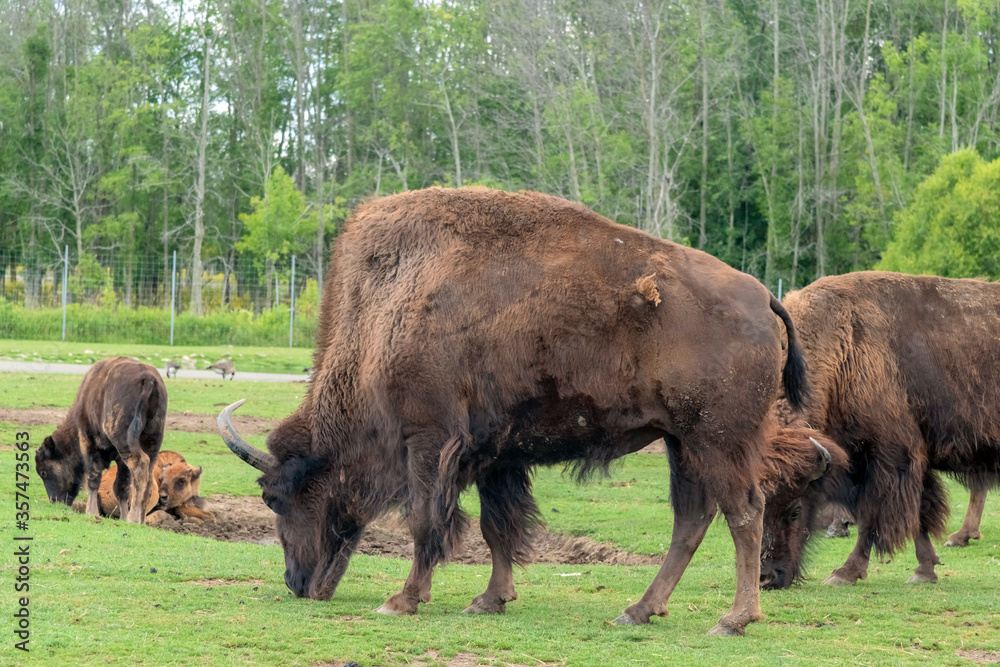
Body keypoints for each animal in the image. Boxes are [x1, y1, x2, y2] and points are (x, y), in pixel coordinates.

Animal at [35, 358, 166, 524]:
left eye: (44, 472)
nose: (55, 501)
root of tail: (148, 378)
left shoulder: (89, 443)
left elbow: (93, 478)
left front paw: (91, 512)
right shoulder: (120, 460)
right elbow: (121, 487)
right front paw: (122, 517)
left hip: (124, 440)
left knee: (140, 466)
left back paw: (133, 519)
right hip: (152, 441)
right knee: (147, 476)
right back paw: (140, 519)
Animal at [221, 185, 836, 636]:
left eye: (275, 498)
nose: (297, 583)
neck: (388, 311)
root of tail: (764, 298)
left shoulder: (429, 442)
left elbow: (427, 521)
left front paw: (402, 600)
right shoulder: (495, 455)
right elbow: (498, 527)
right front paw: (489, 599)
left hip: (718, 439)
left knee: (744, 512)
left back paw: (733, 619)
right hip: (681, 442)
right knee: (692, 519)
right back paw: (637, 611)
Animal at [756, 272, 1000, 588]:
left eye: (796, 510)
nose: (767, 578)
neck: (844, 345)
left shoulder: (889, 458)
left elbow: (873, 516)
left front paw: (844, 573)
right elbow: (918, 515)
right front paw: (925, 570)